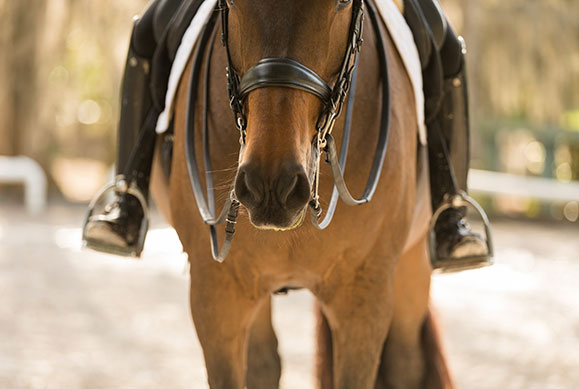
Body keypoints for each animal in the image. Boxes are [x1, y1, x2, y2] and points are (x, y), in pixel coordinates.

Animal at [150, 0, 454, 384]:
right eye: (230, 3)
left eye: (343, 3)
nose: (271, 185)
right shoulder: (216, 293)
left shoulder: (365, 295)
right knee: (263, 362)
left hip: (413, 263)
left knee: (405, 363)